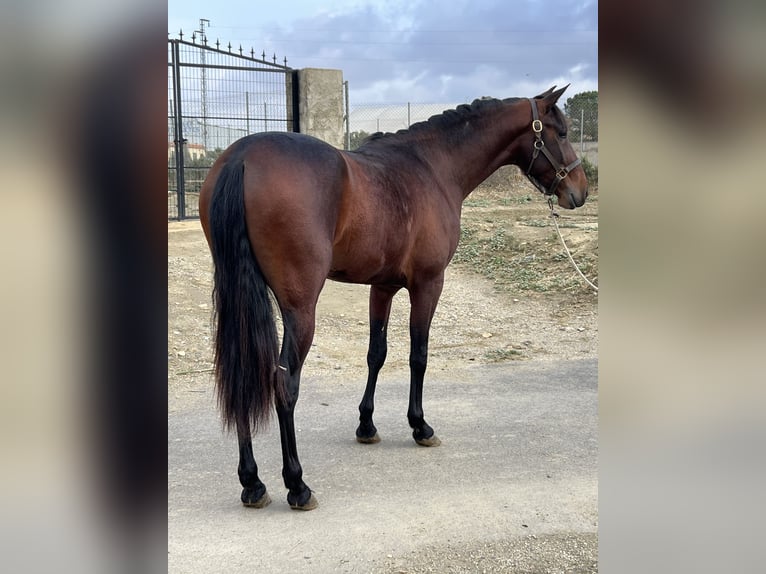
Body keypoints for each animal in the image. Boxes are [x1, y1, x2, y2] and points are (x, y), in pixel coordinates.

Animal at [199, 85, 588, 511]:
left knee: (243, 374)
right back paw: (297, 484)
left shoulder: (382, 287)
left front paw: (366, 424)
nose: (581, 190)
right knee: (284, 384)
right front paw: (419, 425)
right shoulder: (428, 284)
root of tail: (243, 156)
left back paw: (252, 482)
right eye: (562, 132)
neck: (434, 168)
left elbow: (377, 353)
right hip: (300, 309)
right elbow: (418, 355)